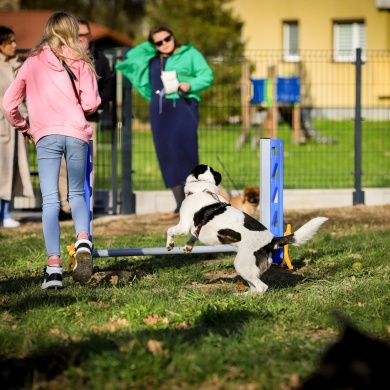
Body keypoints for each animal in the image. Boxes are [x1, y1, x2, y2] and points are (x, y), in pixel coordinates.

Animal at [166, 163, 328, 294]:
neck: (203, 188)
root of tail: (272, 241)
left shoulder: (184, 225)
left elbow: (170, 230)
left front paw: (170, 245)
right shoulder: (195, 228)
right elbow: (193, 236)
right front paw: (188, 246)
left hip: (241, 265)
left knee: (261, 287)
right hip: (248, 270)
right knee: (255, 288)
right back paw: (242, 296)